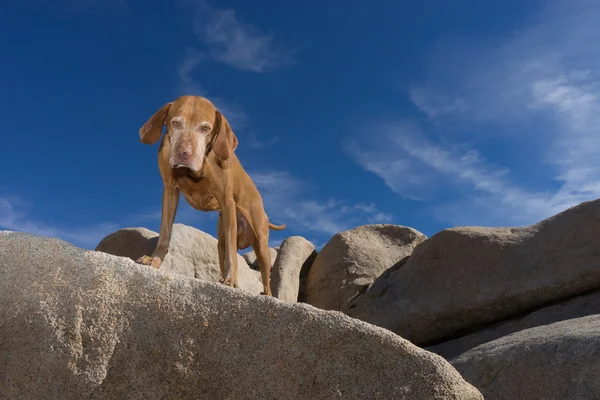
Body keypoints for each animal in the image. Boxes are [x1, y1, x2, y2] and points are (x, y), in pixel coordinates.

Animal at [136, 95, 286, 296]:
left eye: (205, 128)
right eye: (175, 123)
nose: (184, 153)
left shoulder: (226, 200)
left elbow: (232, 253)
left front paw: (231, 280)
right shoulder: (169, 191)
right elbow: (164, 232)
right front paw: (155, 260)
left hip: (261, 244)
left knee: (265, 279)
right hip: (220, 241)